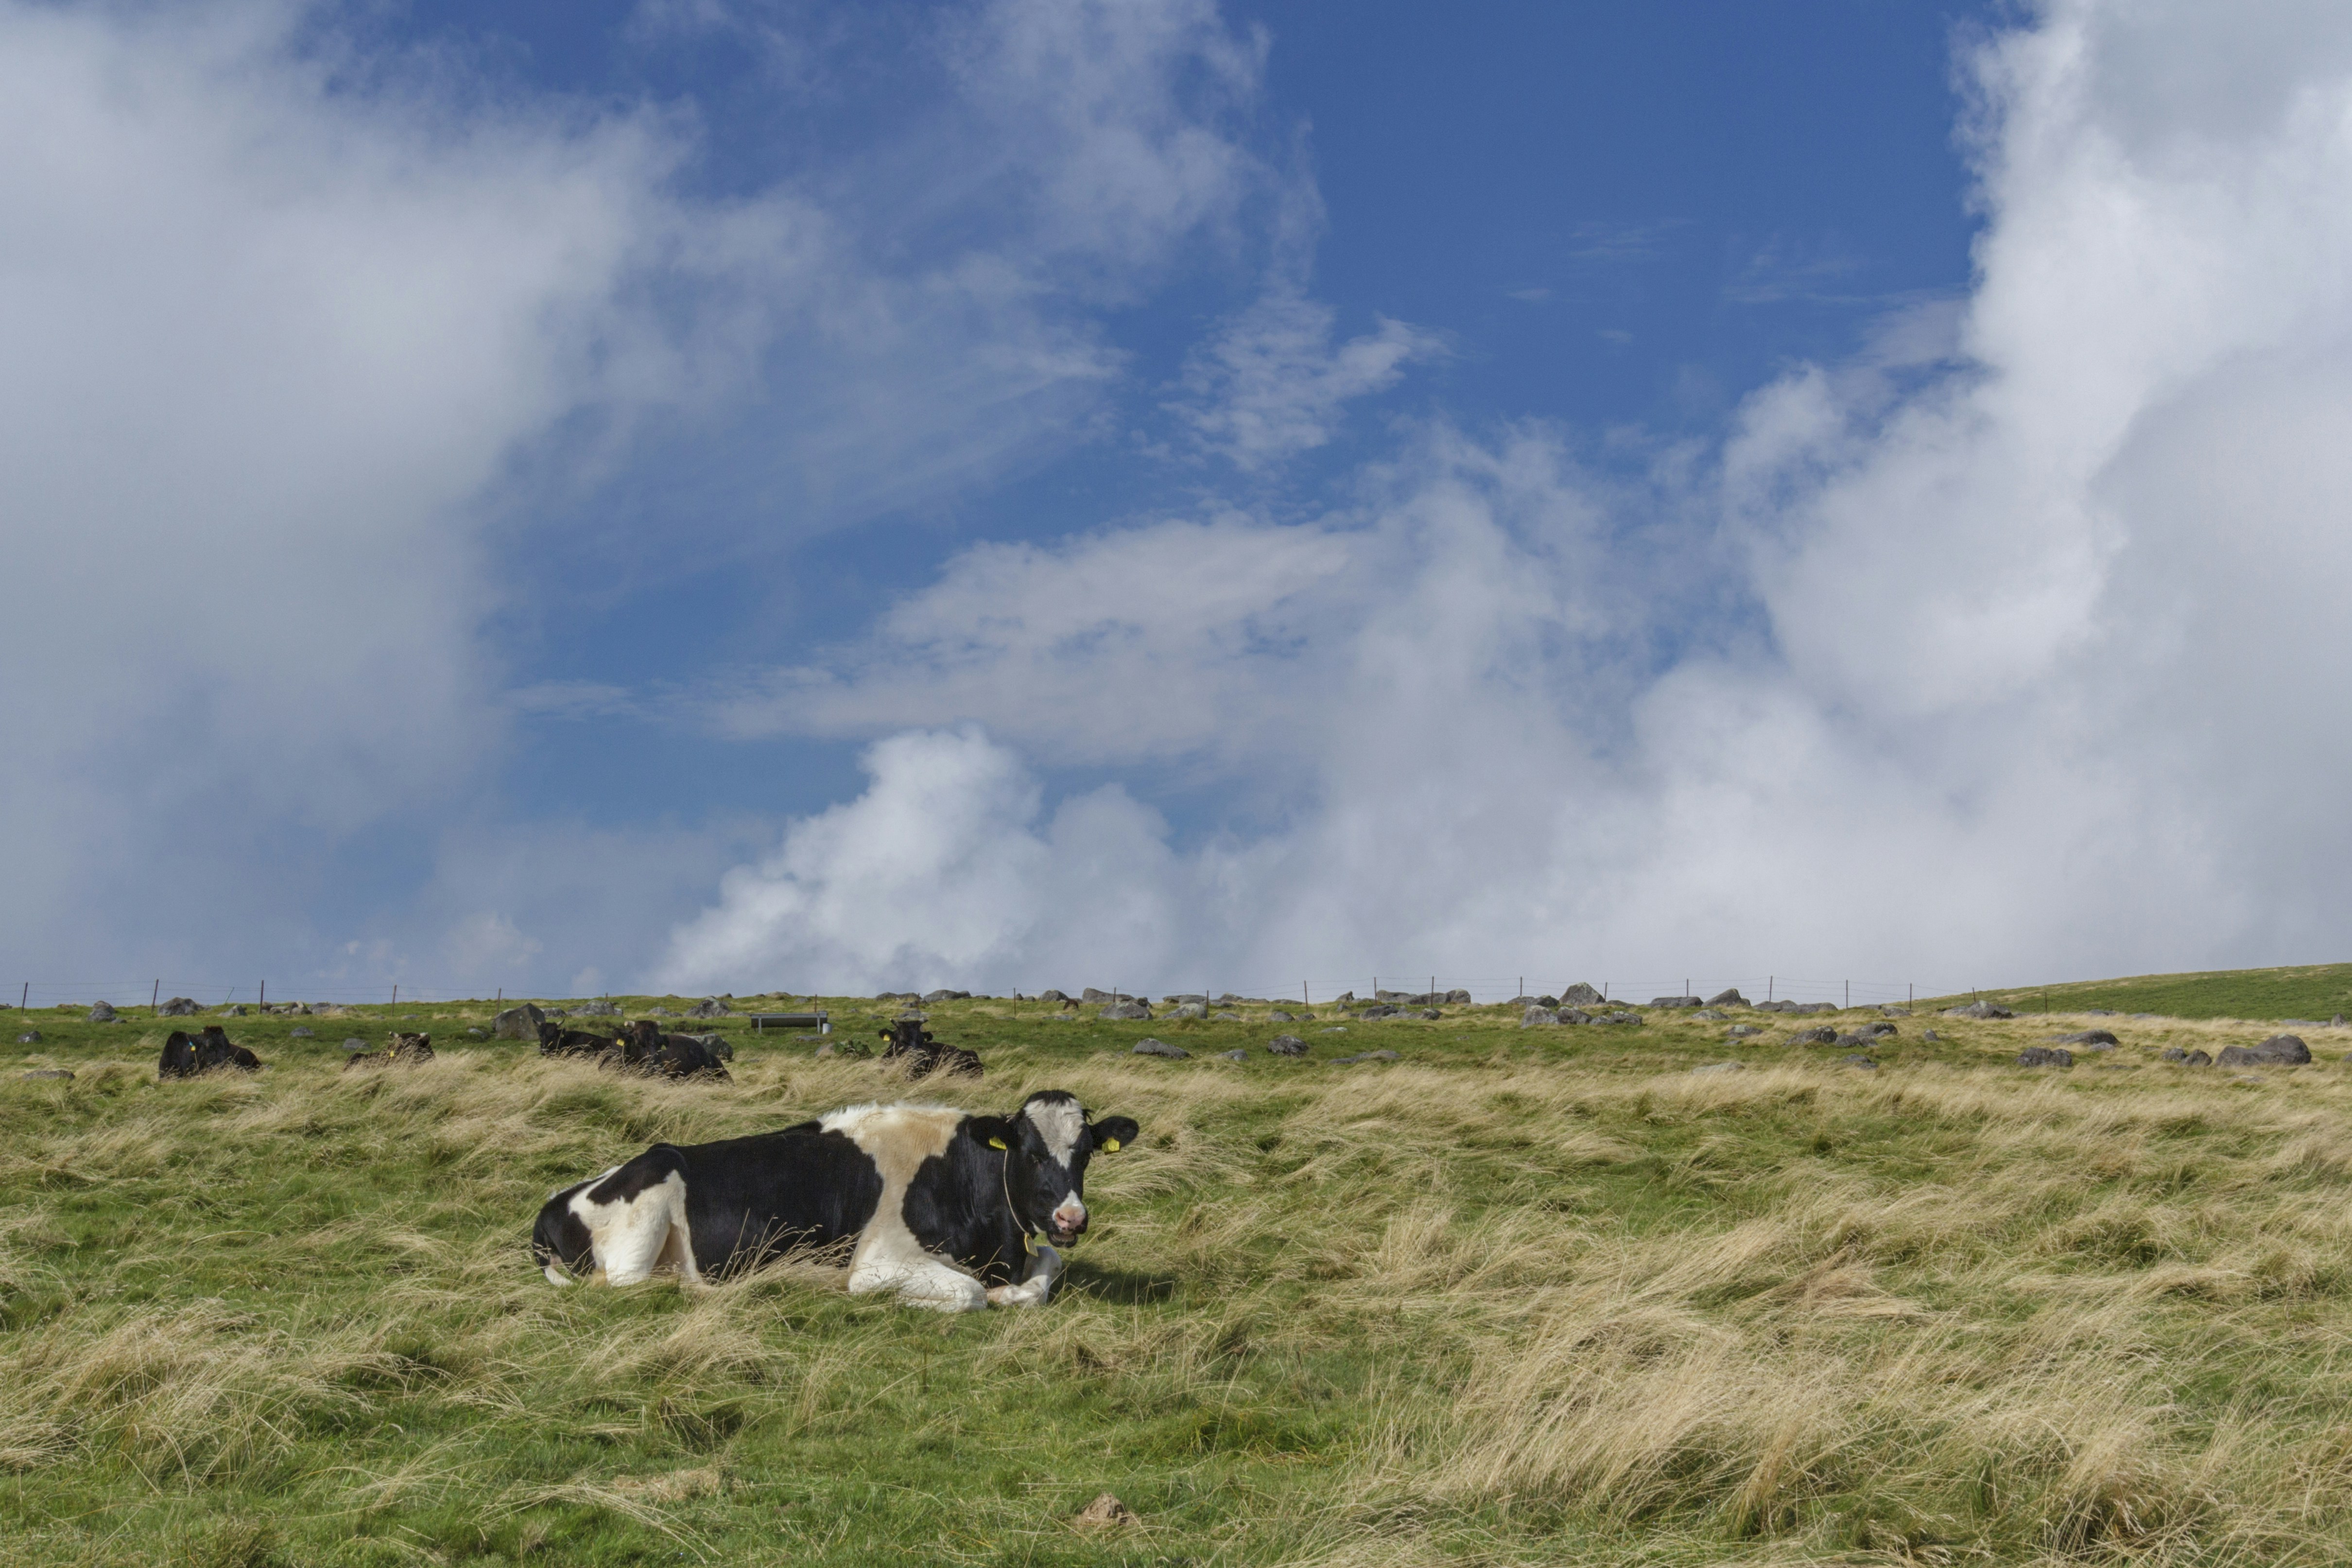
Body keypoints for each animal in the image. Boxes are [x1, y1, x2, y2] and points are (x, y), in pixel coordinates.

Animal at [534, 1090, 1138, 1316]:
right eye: (1031, 1153)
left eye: (1085, 1152)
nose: (1070, 1217)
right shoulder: (877, 1262)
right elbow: (968, 1294)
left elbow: (1046, 1269)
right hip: (645, 1219)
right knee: (630, 1283)